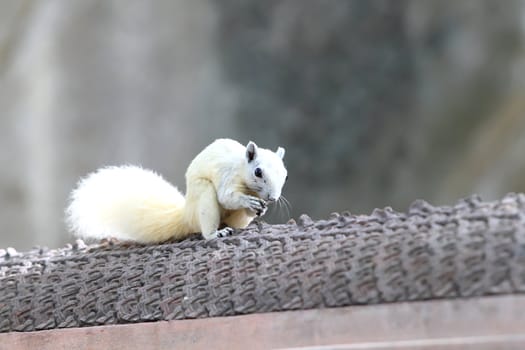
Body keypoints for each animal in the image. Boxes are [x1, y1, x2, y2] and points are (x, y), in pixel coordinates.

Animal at [66, 138, 286, 242]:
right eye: (258, 172)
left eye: (285, 174)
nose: (273, 198)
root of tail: (187, 215)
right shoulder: (228, 176)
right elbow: (227, 197)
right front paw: (248, 201)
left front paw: (260, 208)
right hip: (204, 197)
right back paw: (216, 233)